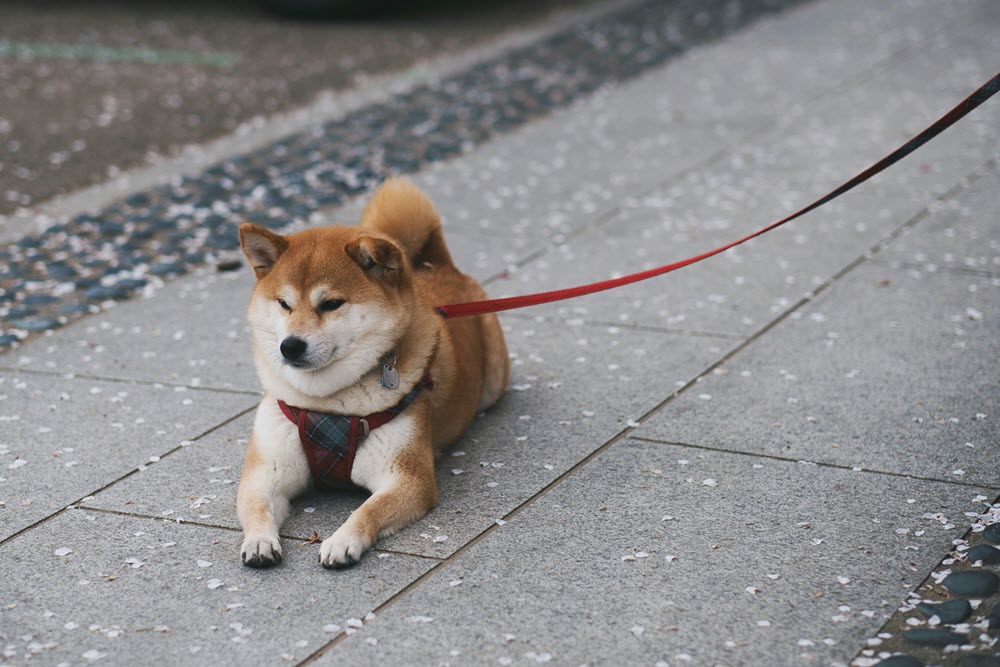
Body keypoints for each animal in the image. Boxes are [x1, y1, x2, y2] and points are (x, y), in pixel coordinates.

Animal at [236, 180, 508, 572]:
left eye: (331, 304)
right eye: (283, 304)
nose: (290, 346)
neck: (328, 405)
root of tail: (437, 265)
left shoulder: (407, 477)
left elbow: (368, 510)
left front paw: (342, 540)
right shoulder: (267, 470)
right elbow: (257, 506)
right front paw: (259, 540)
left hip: (495, 380)